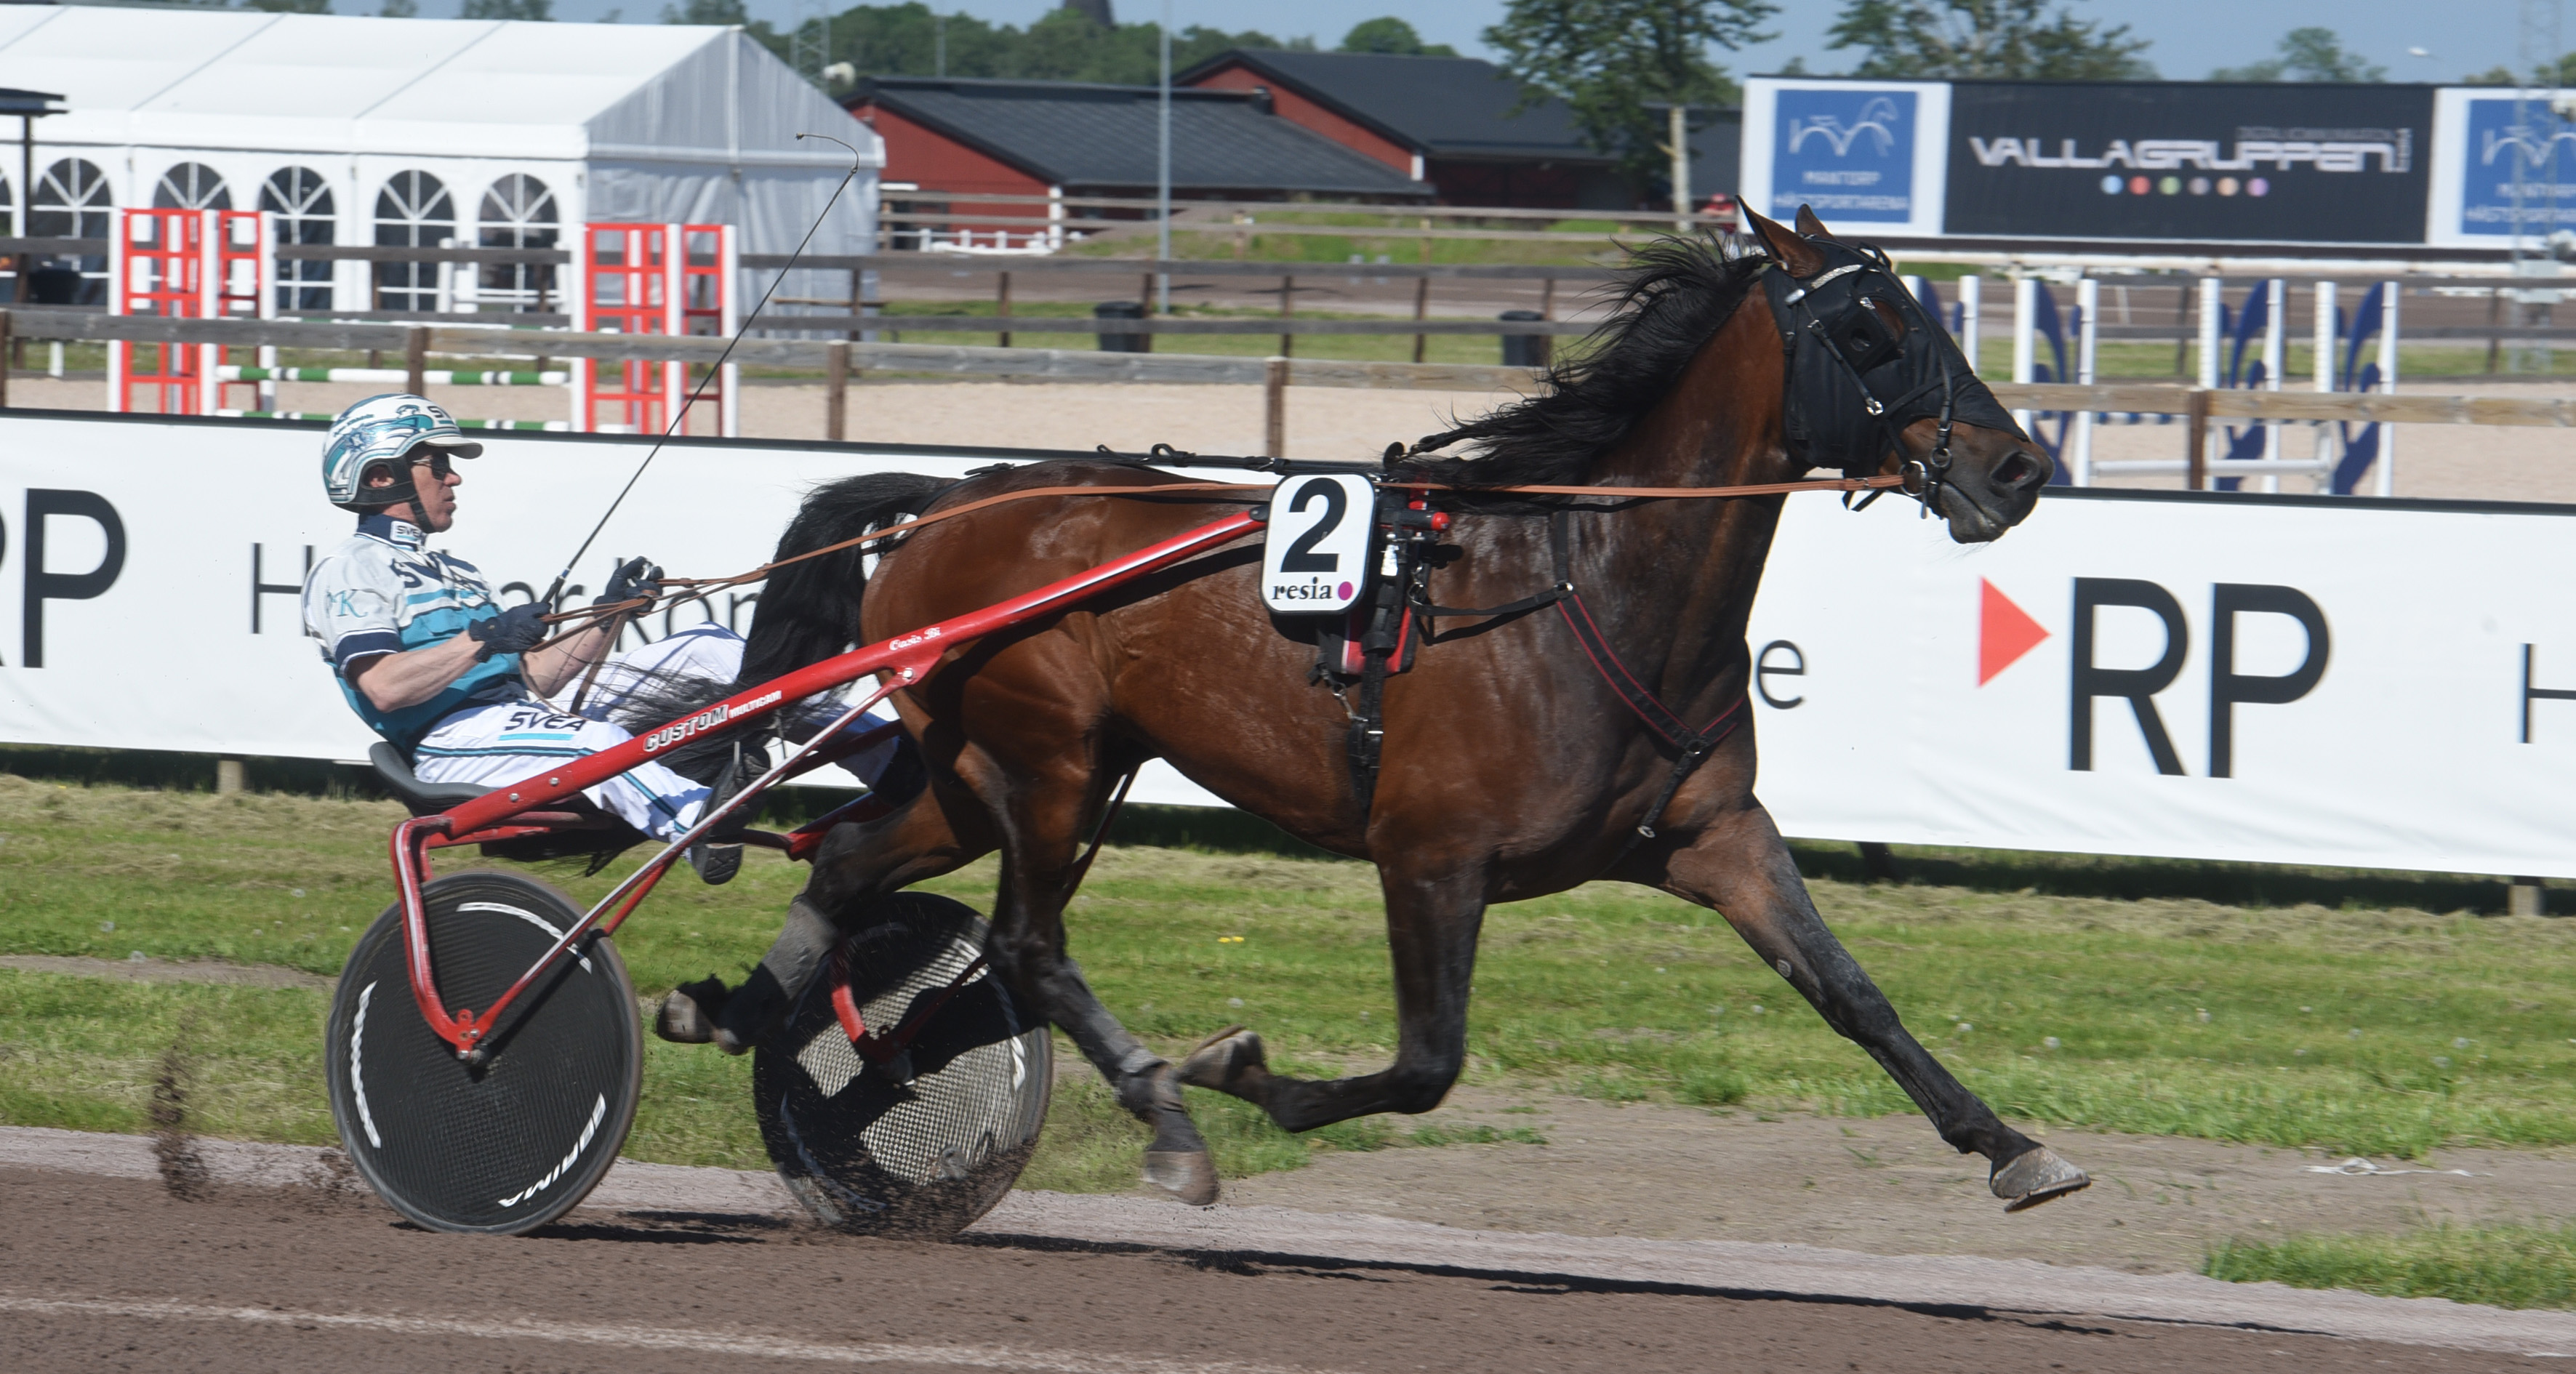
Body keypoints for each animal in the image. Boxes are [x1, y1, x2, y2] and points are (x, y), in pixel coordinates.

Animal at [675, 206, 2081, 1211]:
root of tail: (947, 499)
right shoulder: (1429, 857)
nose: (2017, 468)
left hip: (976, 775)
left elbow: (1854, 994)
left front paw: (2008, 1144)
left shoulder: (1712, 834)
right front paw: (1235, 1074)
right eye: (1873, 326)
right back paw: (1165, 1112)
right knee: (1025, 944)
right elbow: (1423, 1067)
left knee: (852, 864)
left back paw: (751, 1016)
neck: (1580, 589)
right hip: (1048, 765)